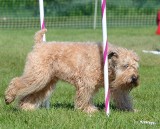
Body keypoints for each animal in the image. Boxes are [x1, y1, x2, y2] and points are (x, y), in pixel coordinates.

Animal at [4, 29, 139, 113]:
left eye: (136, 67)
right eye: (125, 65)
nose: (134, 78)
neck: (107, 63)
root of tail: (39, 44)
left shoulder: (117, 86)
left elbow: (124, 98)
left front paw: (130, 110)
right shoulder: (86, 82)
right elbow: (85, 97)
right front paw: (88, 110)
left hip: (46, 82)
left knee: (31, 95)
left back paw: (27, 107)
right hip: (38, 76)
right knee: (17, 81)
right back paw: (8, 97)